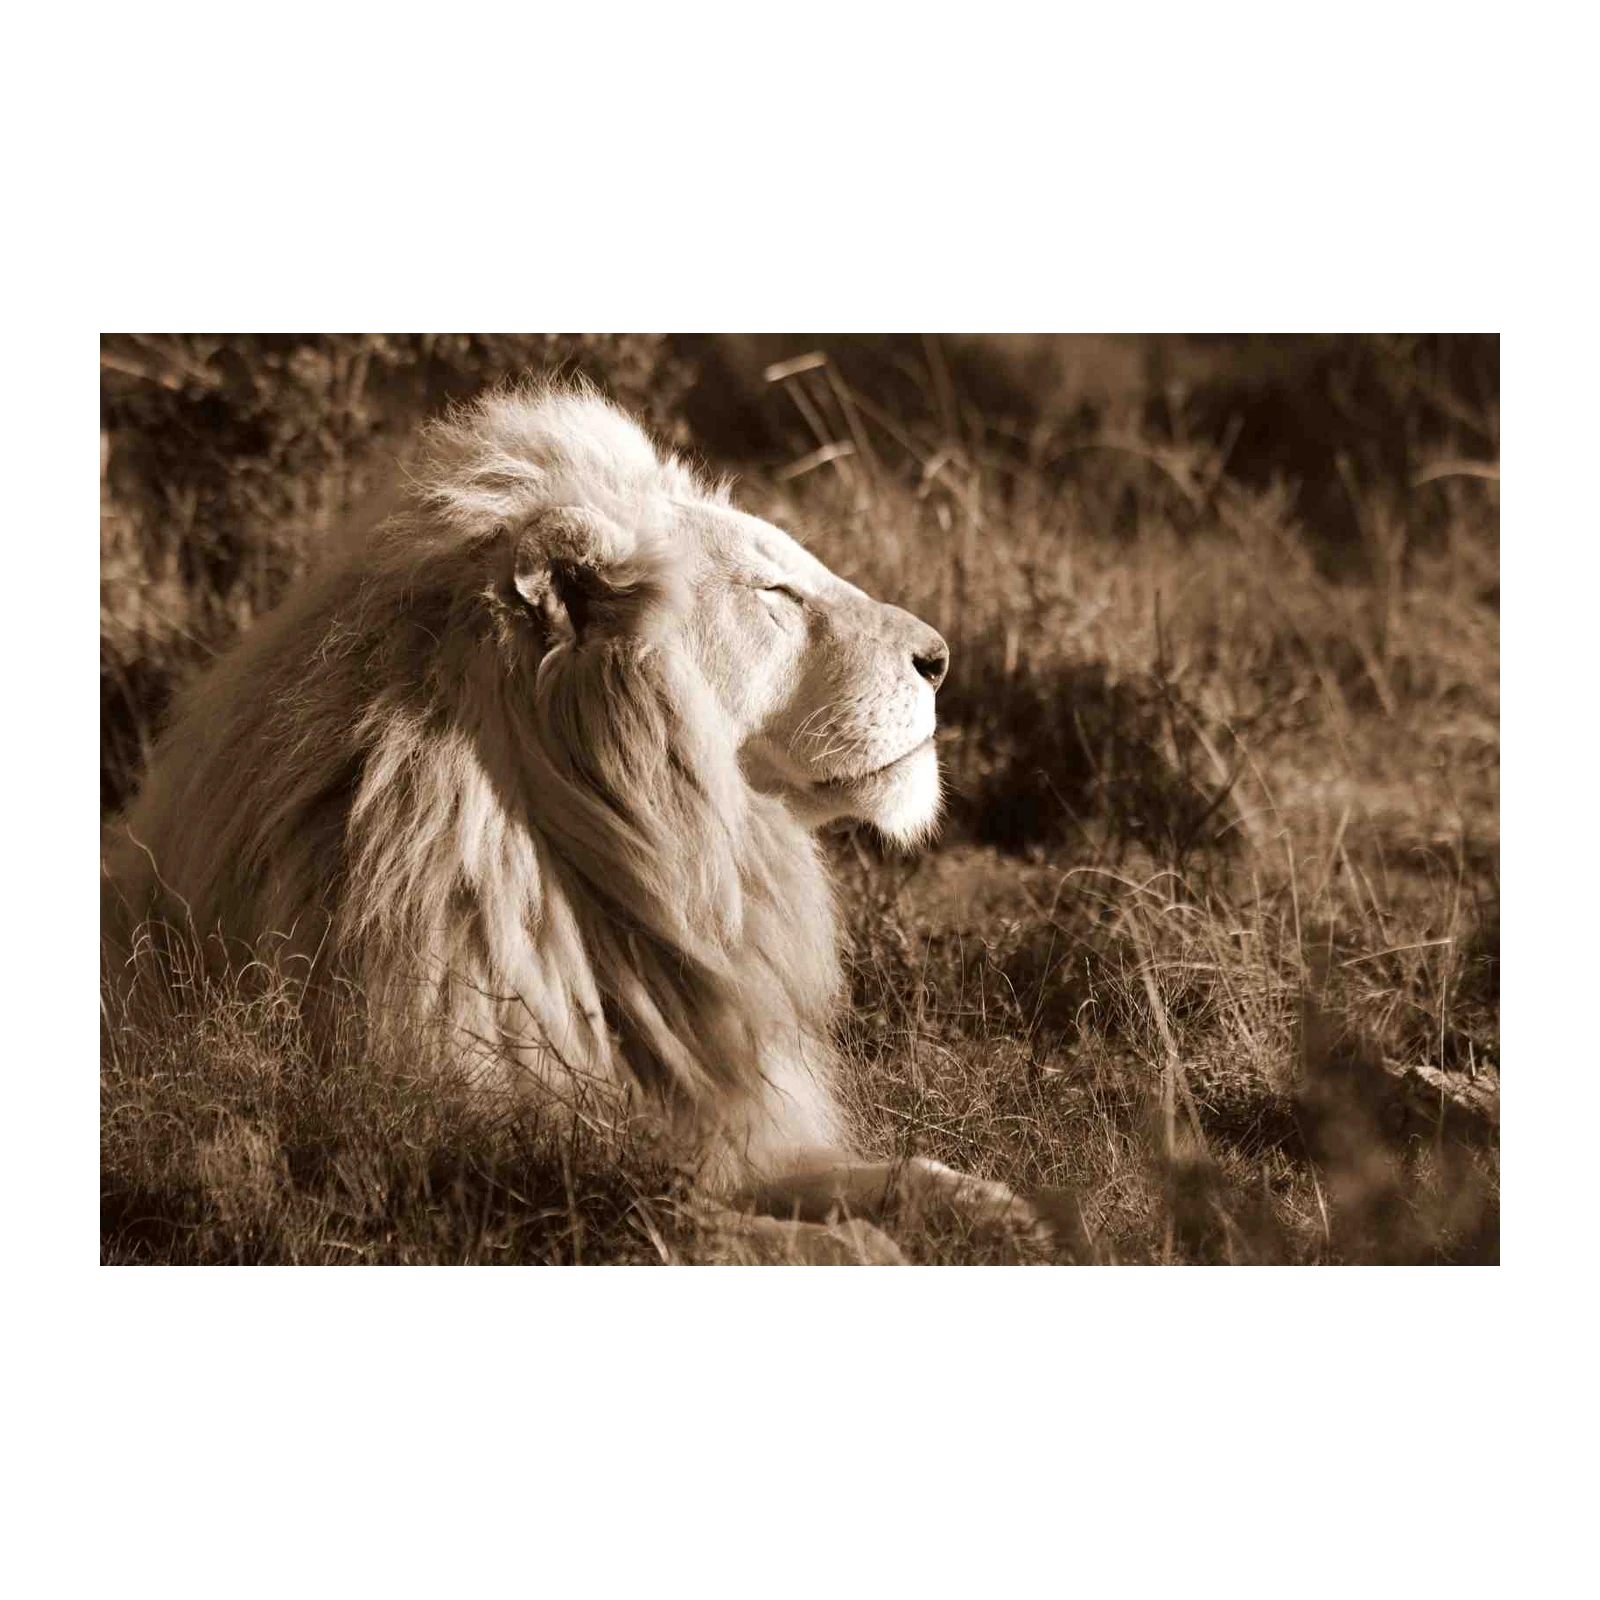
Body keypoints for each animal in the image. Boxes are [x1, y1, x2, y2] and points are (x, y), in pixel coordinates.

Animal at [100, 380, 1056, 1264]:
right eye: (775, 591)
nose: (941, 659)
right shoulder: (476, 1187)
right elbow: (725, 1229)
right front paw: (870, 1245)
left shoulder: (720, 1119)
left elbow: (894, 1175)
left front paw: (1010, 1214)